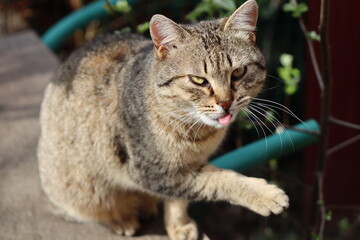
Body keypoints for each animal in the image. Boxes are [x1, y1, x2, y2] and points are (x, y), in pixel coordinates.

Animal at [37, 0, 290, 239]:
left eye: (238, 73)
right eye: (198, 80)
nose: (226, 102)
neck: (196, 132)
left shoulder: (183, 170)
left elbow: (178, 201)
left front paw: (179, 225)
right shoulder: (154, 172)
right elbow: (218, 179)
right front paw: (264, 195)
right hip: (85, 188)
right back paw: (121, 218)